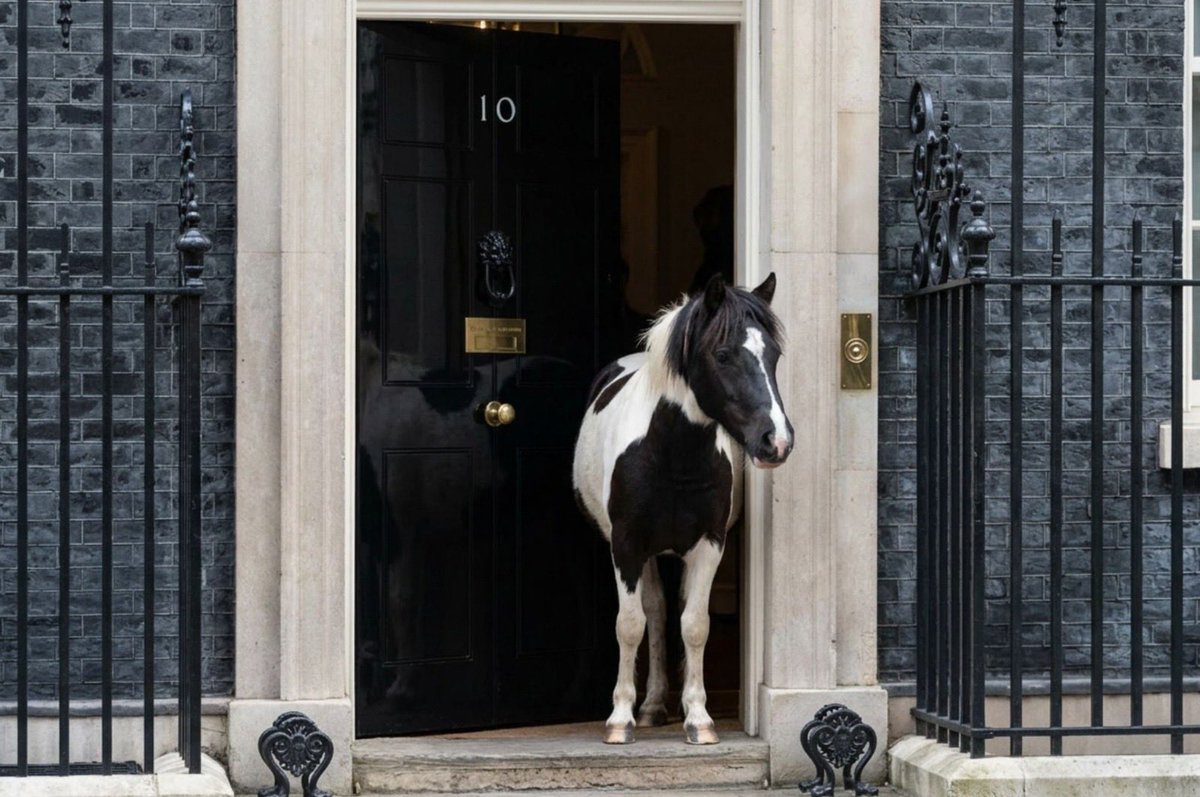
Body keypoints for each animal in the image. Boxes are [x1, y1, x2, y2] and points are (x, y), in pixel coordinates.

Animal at [572, 273, 792, 746]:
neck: (671, 454)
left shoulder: (709, 544)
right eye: (723, 355)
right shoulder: (627, 545)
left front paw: (699, 718)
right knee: (654, 613)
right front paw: (620, 719)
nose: (777, 441)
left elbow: (694, 624)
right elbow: (630, 623)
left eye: (774, 354)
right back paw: (650, 705)